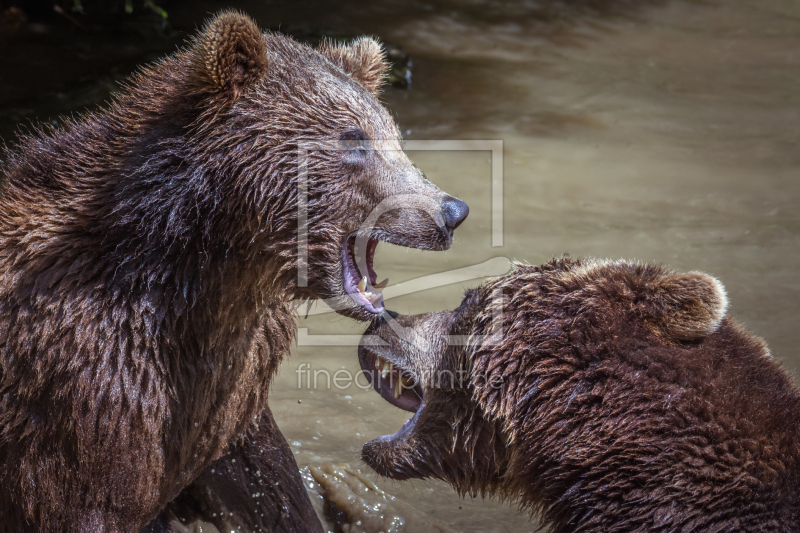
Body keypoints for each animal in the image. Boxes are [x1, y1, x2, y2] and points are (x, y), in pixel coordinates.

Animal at [0, 9, 468, 532]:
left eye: (394, 134)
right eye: (354, 138)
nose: (451, 212)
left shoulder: (228, 386)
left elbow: (265, 482)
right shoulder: (87, 394)